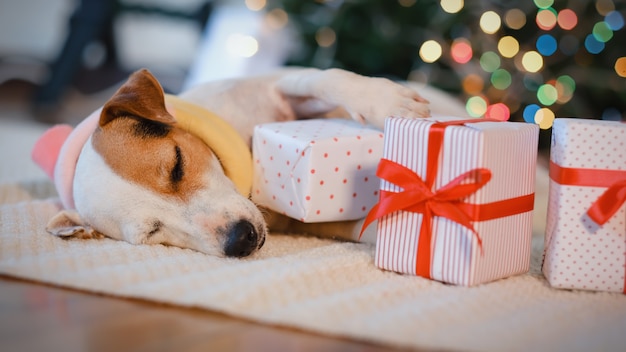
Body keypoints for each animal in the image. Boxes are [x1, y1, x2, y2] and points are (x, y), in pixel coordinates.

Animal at [31, 67, 436, 258]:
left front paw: (386, 101)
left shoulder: (280, 90)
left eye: (177, 164)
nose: (240, 240)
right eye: (151, 233)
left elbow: (323, 78)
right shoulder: (305, 221)